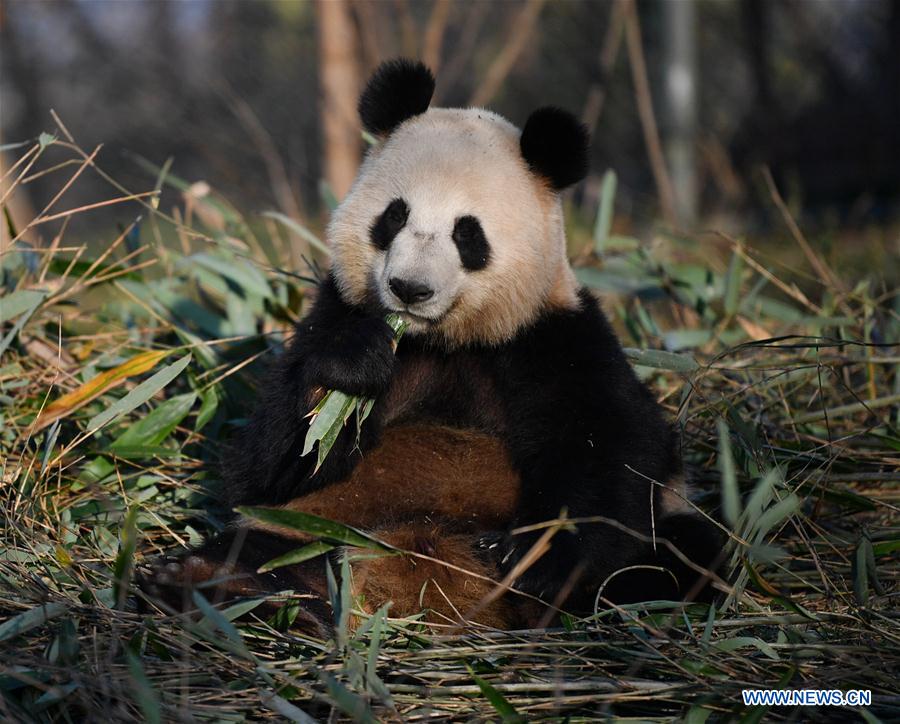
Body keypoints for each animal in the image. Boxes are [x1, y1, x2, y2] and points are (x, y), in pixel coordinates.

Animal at [142, 59, 723, 633]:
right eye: (394, 216)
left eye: (467, 234)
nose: (409, 288)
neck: (442, 339)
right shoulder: (333, 314)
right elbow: (269, 468)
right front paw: (352, 367)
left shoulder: (555, 338)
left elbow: (613, 454)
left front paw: (535, 560)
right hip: (315, 528)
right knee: (260, 543)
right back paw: (222, 585)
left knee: (679, 557)